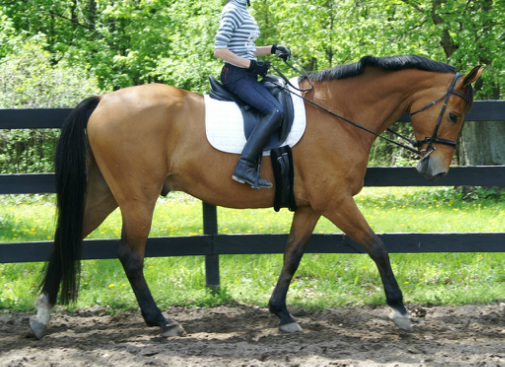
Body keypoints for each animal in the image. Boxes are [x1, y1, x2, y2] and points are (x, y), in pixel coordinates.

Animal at [28, 54, 480, 340]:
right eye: (454, 115)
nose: (436, 170)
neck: (339, 114)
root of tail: (104, 100)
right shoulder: (335, 200)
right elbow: (377, 246)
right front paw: (400, 311)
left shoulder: (312, 206)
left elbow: (292, 255)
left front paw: (282, 314)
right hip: (138, 197)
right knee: (130, 255)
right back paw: (162, 322)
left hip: (104, 194)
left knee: (66, 238)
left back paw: (41, 317)